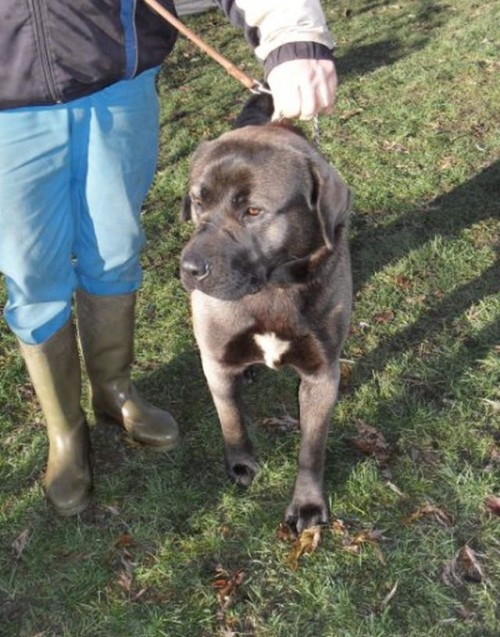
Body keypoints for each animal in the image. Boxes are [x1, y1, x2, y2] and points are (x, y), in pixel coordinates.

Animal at [180, 94, 352, 532]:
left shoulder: (321, 373)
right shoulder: (216, 359)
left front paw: (307, 504)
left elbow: (311, 449)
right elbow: (230, 417)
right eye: (199, 202)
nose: (188, 268)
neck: (273, 290)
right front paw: (241, 464)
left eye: (254, 212)